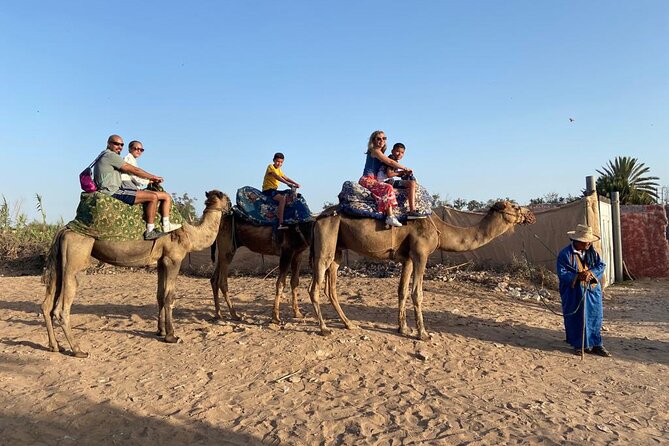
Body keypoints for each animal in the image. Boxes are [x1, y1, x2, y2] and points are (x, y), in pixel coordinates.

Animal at [41, 190, 231, 358]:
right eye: (228, 200)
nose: (232, 209)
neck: (190, 234)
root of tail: (64, 230)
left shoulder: (161, 261)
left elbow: (160, 295)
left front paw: (160, 331)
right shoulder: (173, 259)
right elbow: (169, 297)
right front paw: (171, 336)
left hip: (60, 264)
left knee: (47, 304)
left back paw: (55, 346)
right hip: (75, 260)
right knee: (61, 309)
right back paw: (78, 350)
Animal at [310, 200, 536, 340]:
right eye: (515, 206)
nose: (531, 216)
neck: (440, 229)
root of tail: (317, 218)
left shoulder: (408, 259)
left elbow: (402, 291)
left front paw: (403, 328)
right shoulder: (421, 254)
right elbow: (417, 293)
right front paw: (423, 334)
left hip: (337, 249)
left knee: (330, 286)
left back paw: (349, 324)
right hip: (326, 241)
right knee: (315, 287)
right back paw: (324, 328)